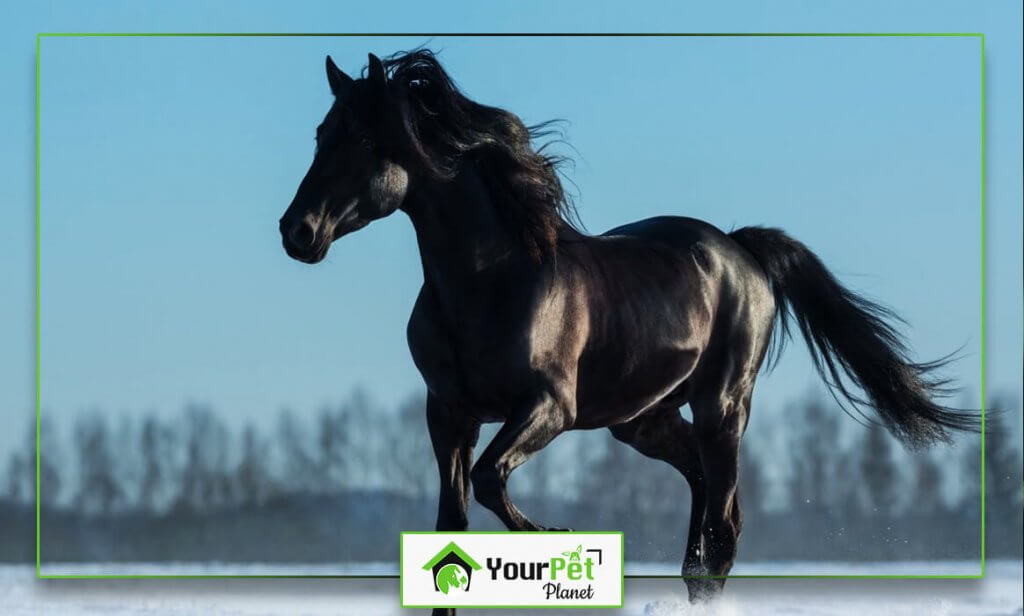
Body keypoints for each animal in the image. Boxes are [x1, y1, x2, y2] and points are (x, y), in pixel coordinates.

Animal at [278, 50, 979, 612]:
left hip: (723, 405)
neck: (487, 281)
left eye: (367, 142)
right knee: (702, 500)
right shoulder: (448, 413)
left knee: (724, 526)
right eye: (320, 134)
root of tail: (740, 249)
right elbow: (452, 520)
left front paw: (555, 541)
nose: (297, 232)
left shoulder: (548, 407)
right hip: (644, 419)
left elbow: (489, 478)